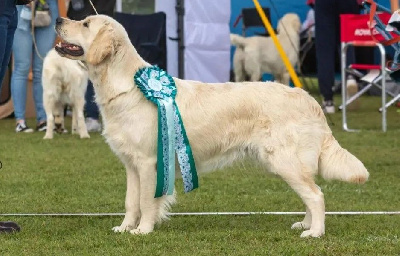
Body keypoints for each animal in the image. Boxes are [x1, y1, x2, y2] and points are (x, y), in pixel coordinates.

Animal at [53, 15, 368, 237]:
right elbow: (131, 201)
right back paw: (305, 225)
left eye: (85, 23)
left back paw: (315, 233)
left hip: (285, 160)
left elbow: (145, 200)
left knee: (316, 195)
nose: (58, 20)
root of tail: (309, 99)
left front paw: (143, 230)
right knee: (310, 194)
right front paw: (125, 228)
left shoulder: (148, 162)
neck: (128, 85)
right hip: (289, 163)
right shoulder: (131, 164)